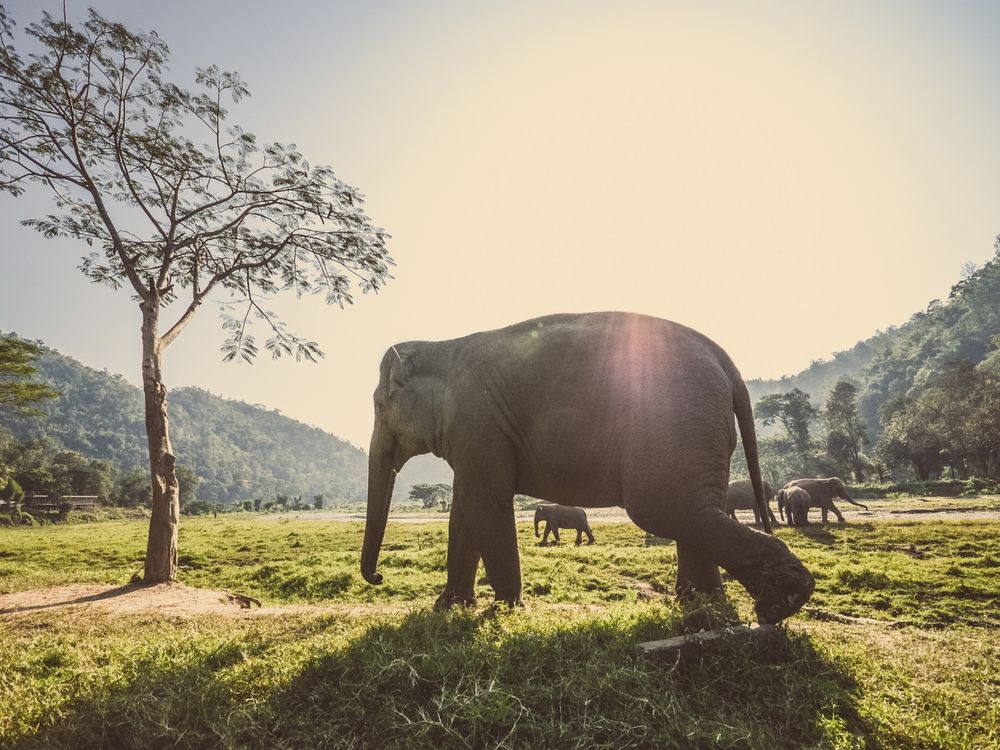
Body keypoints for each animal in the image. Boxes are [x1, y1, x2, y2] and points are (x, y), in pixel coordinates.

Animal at [364, 314, 816, 624]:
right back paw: (702, 608)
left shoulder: (478, 423)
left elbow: (485, 502)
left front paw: (504, 610)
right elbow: (464, 511)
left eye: (380, 407)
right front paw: (448, 608)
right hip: (704, 432)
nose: (379, 577)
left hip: (680, 421)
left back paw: (781, 602)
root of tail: (727, 363)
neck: (442, 346)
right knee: (696, 508)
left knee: (665, 507)